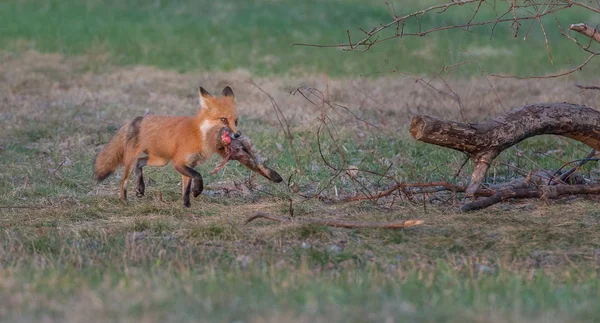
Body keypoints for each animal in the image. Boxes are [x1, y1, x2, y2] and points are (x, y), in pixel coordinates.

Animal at [93, 86, 282, 208]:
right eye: (223, 120)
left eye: (236, 121)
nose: (237, 135)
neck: (200, 135)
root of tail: (136, 118)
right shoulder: (179, 163)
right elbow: (198, 177)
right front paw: (198, 191)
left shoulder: (188, 164)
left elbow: (186, 188)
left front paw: (186, 206)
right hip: (133, 162)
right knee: (123, 181)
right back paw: (124, 201)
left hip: (160, 160)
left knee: (140, 163)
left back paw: (140, 187)